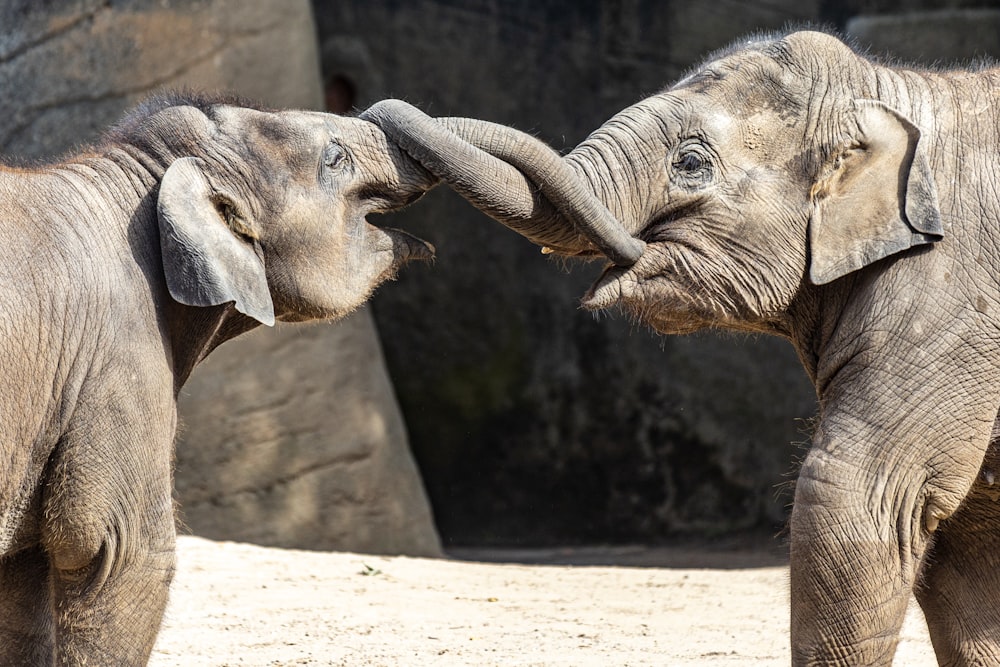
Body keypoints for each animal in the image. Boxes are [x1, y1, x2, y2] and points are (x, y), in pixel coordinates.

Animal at [368, 31, 1000, 667]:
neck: (893, 89)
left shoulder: (950, 296)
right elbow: (968, 540)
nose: (376, 115)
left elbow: (860, 492)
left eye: (691, 164)